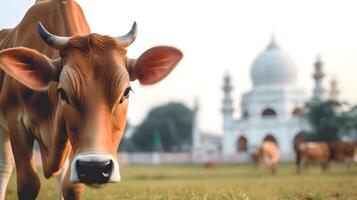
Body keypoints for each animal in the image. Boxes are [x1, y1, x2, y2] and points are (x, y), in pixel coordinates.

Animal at [0, 0, 182, 199]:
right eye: (62, 92)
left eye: (126, 92)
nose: (95, 168)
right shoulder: (16, 121)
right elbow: (28, 184)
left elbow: (71, 187)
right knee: (5, 166)